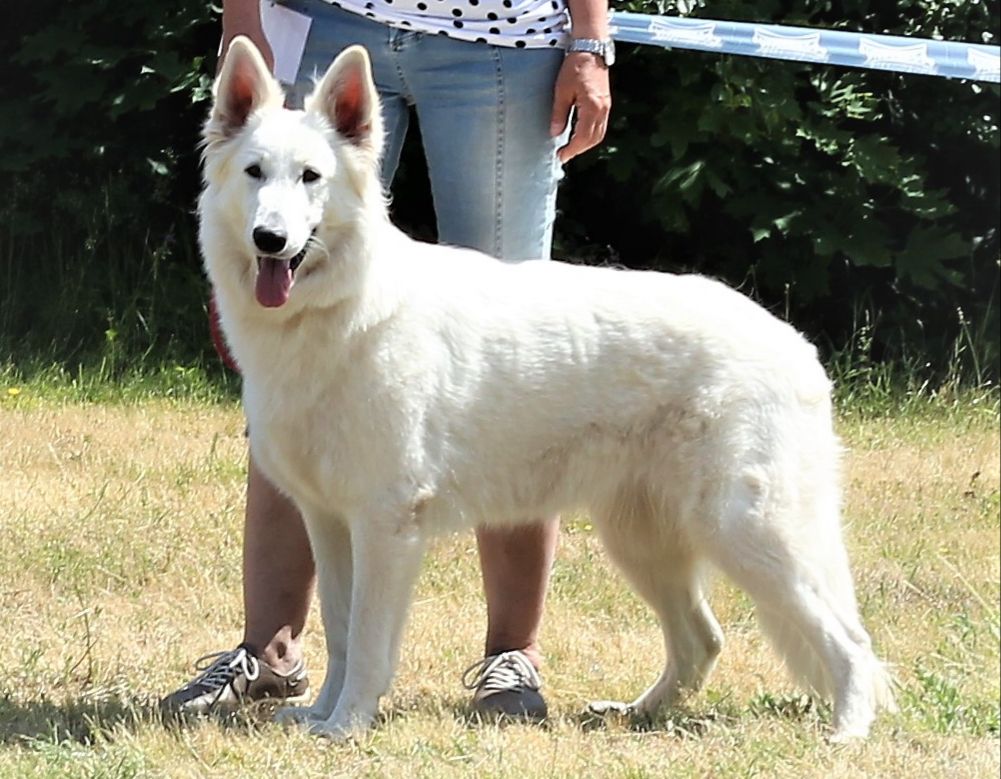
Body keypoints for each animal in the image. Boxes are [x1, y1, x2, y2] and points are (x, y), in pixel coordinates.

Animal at [199, 38, 896, 740]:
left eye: (311, 177)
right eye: (255, 173)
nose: (270, 240)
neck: (339, 311)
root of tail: (794, 344)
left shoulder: (385, 525)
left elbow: (367, 640)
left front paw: (347, 725)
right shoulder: (329, 521)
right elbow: (339, 629)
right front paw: (320, 713)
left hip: (749, 530)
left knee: (851, 642)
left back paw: (847, 733)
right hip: (644, 543)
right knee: (703, 640)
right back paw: (636, 713)